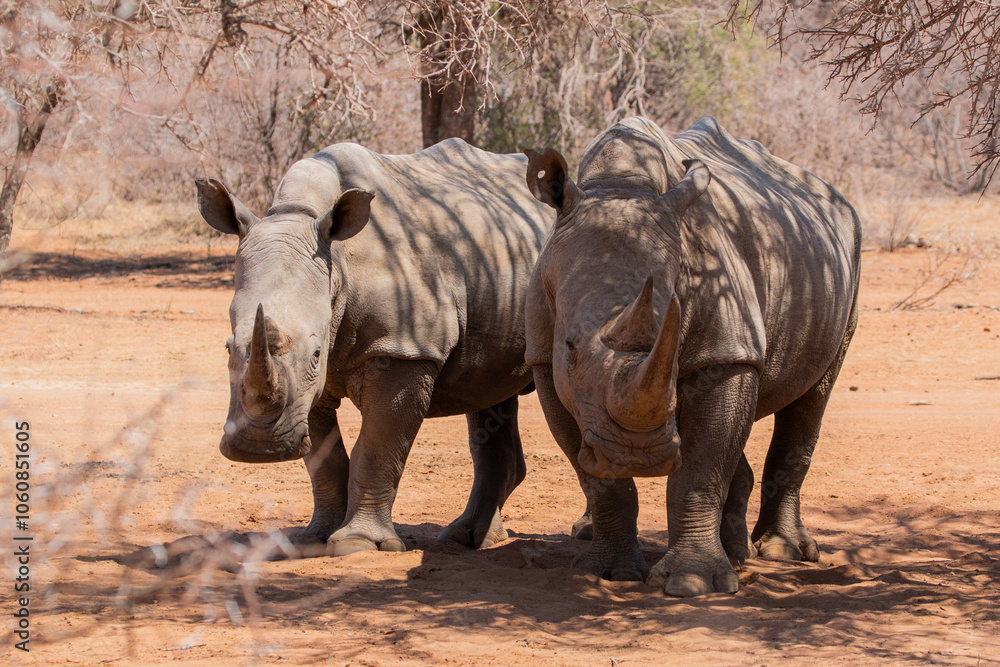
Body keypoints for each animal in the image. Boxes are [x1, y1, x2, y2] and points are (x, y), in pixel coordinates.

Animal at [196, 139, 553, 555]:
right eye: (227, 349)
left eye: (315, 354)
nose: (258, 448)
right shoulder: (308, 386)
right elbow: (324, 459)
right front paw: (314, 539)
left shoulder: (405, 349)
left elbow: (378, 447)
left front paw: (358, 544)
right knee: (489, 391)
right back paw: (469, 538)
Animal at [523, 117, 860, 597]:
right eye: (568, 347)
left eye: (676, 342)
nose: (638, 457)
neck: (618, 187)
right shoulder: (544, 361)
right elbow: (598, 480)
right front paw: (607, 573)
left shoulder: (726, 351)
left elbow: (700, 468)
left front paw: (692, 584)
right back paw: (736, 551)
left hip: (848, 252)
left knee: (813, 395)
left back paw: (781, 553)